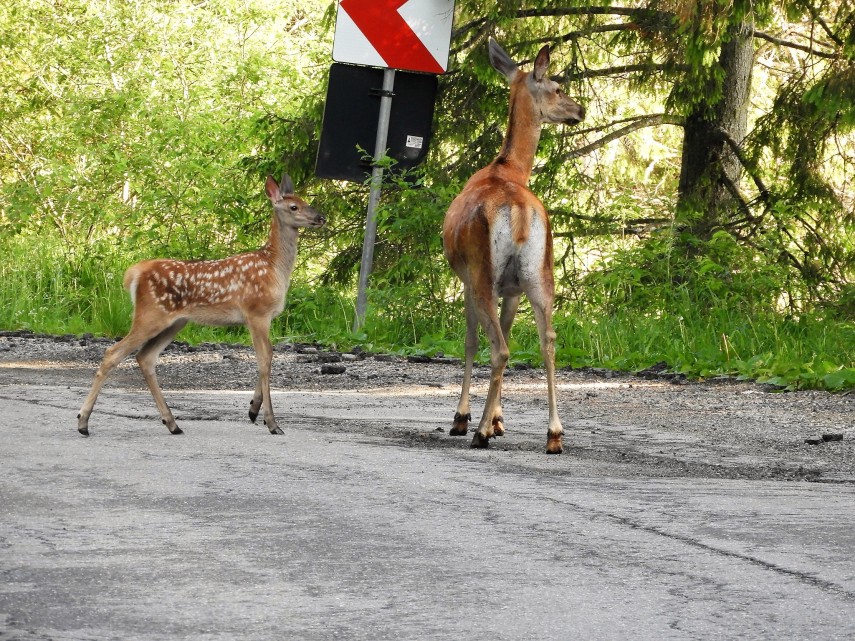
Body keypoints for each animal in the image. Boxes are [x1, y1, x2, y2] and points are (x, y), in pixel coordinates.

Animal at [77, 174, 326, 436]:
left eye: (306, 201)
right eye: (294, 207)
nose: (321, 218)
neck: (274, 267)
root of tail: (135, 273)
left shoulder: (259, 317)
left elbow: (266, 356)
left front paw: (253, 409)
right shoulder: (257, 311)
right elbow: (265, 359)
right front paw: (271, 422)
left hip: (176, 321)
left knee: (145, 357)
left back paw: (172, 423)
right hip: (150, 315)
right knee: (113, 353)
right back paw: (83, 422)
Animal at [444, 40, 584, 452]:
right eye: (557, 88)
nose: (580, 110)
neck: (509, 167)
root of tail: (520, 209)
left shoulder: (466, 278)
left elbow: (470, 341)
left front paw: (467, 418)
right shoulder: (513, 289)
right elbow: (508, 331)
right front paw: (498, 418)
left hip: (482, 272)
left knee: (499, 347)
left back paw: (477, 432)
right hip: (540, 272)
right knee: (547, 341)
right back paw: (554, 434)